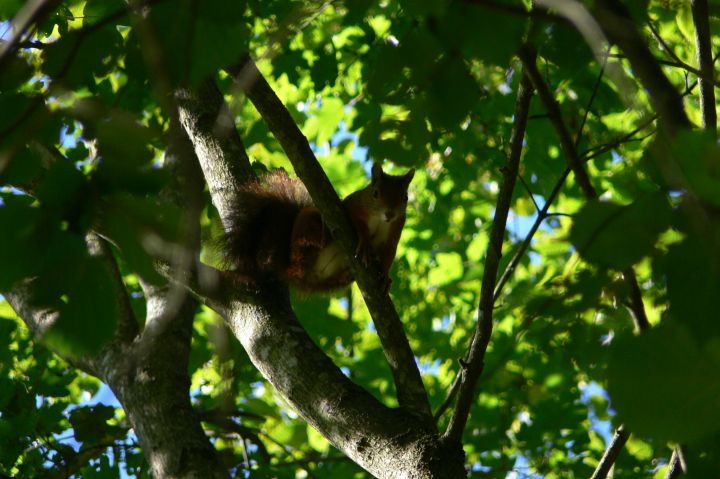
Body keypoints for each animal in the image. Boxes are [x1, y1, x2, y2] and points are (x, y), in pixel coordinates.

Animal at [225, 165, 416, 292]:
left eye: (405, 197)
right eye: (376, 193)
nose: (390, 213)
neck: (380, 220)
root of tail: (294, 272)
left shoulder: (395, 230)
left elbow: (389, 252)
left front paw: (385, 277)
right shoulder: (353, 206)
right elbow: (357, 224)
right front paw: (364, 242)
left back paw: (345, 275)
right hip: (307, 229)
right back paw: (325, 235)